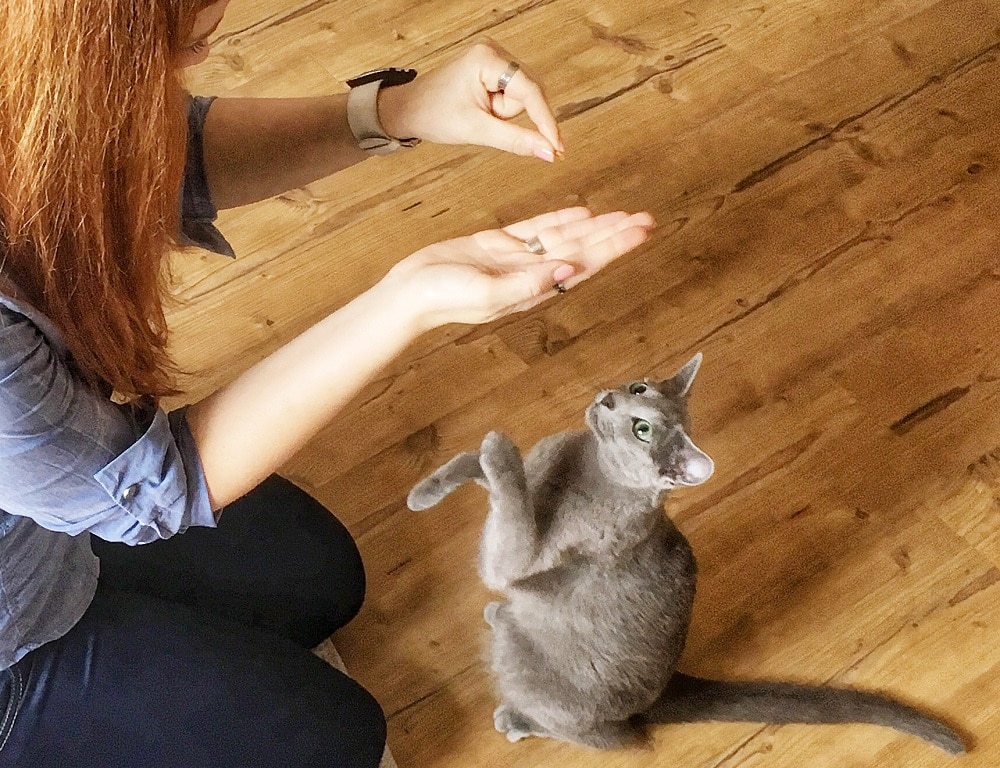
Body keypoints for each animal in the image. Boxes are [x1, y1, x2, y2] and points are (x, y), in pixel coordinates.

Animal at [404, 356, 960, 752]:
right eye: (637, 389)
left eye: (643, 428)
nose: (608, 399)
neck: (588, 465)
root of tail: (664, 691)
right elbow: (479, 469)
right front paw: (425, 492)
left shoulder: (514, 560)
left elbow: (510, 507)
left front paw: (498, 445)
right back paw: (497, 613)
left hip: (529, 668)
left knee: (603, 738)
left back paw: (515, 714)